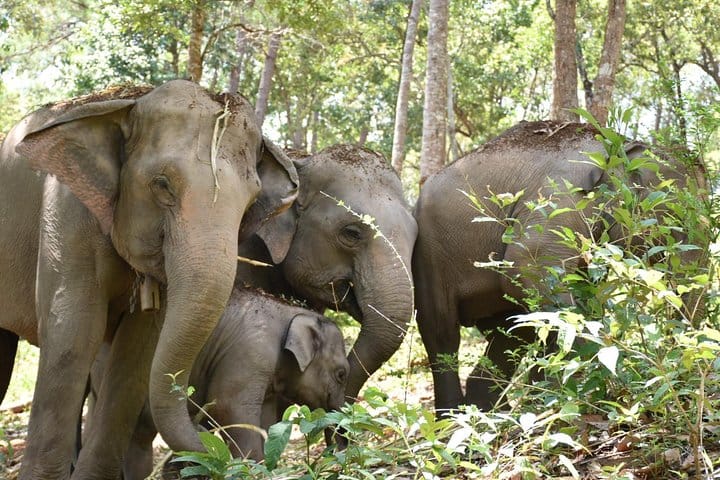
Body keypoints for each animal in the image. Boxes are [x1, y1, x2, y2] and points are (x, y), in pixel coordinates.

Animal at [0, 80, 298, 479]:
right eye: (162, 185)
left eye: (251, 201)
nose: (216, 444)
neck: (128, 104)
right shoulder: (66, 212)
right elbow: (73, 334)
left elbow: (138, 350)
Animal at [88, 287, 349, 480]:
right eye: (341, 374)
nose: (335, 458)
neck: (291, 313)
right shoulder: (249, 354)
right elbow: (228, 407)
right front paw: (250, 469)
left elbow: (263, 419)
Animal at [412, 120, 707, 414]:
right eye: (675, 219)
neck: (617, 142)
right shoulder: (560, 197)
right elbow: (526, 263)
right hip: (430, 254)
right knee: (442, 332)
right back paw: (452, 417)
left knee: (511, 333)